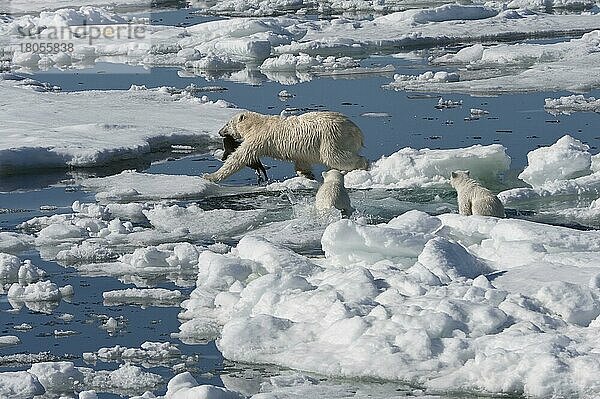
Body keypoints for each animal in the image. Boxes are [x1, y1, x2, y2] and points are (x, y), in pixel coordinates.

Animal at [204, 111, 368, 183]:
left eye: (227, 124)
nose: (220, 132)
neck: (256, 124)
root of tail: (357, 131)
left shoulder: (258, 138)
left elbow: (241, 157)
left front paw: (210, 176)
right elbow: (302, 161)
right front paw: (306, 174)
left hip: (331, 137)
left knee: (334, 156)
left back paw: (361, 164)